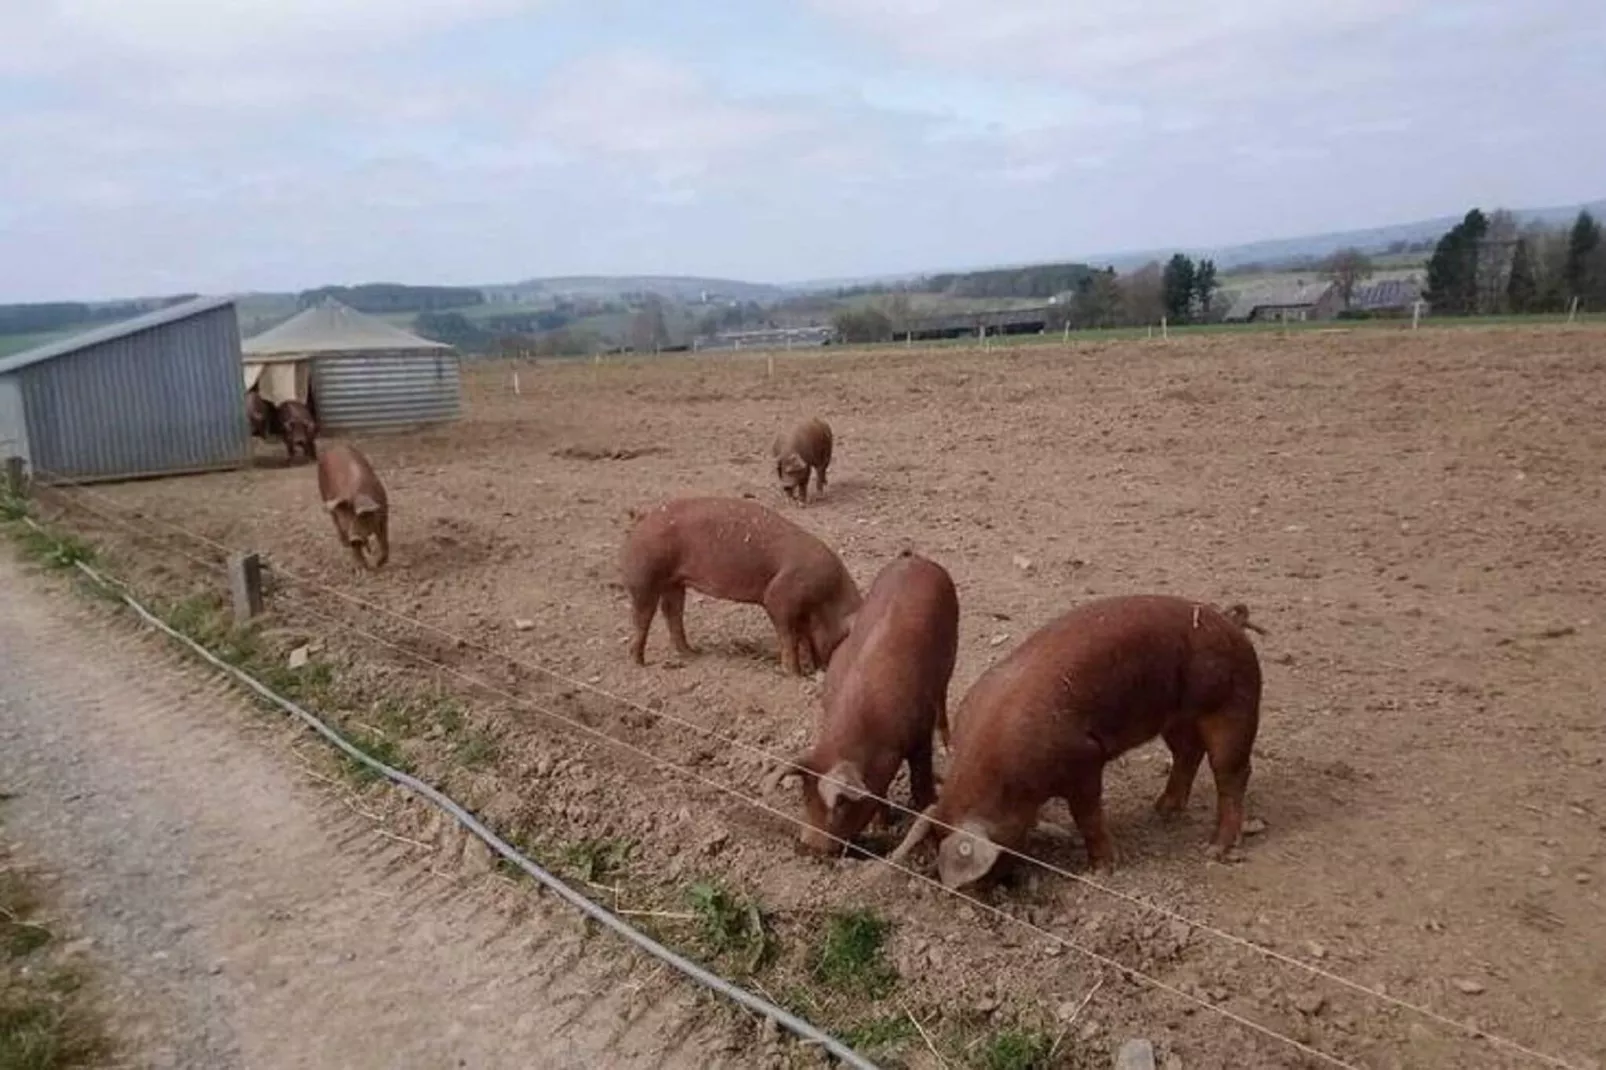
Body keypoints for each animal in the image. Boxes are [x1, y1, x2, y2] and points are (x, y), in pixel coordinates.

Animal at [616, 494, 867, 674]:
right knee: (642, 616)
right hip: (644, 574)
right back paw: (639, 662)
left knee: (672, 613)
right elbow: (788, 637)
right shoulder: (780, 597)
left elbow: (802, 637)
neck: (826, 599)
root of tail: (642, 517)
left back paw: (692, 654)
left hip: (674, 582)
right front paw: (795, 675)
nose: (824, 671)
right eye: (845, 639)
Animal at [770, 546, 957, 854]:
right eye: (805, 797)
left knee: (943, 696)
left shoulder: (919, 735)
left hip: (951, 652)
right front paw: (882, 826)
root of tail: (914, 558)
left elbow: (921, 781)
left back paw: (950, 746)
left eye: (839, 807)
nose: (809, 845)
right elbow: (879, 793)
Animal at [886, 594, 1259, 886]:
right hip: (1177, 716)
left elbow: (1088, 816)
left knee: (1233, 774)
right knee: (1188, 752)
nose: (996, 890)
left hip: (1234, 705)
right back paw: (1162, 810)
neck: (1002, 778)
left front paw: (1100, 871)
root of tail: (1231, 622)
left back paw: (1215, 848)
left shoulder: (1084, 761)